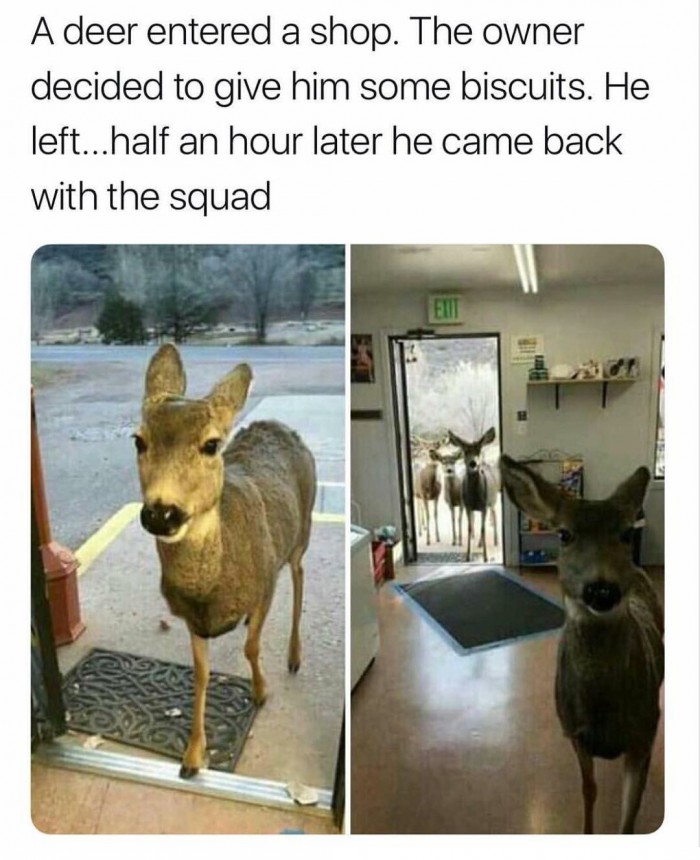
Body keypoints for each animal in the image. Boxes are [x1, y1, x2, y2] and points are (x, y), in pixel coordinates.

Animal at [134, 344, 316, 779]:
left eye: (211, 444)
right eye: (138, 440)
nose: (161, 513)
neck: (210, 589)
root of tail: (279, 425)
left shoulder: (265, 583)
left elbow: (251, 647)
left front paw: (261, 691)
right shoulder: (191, 619)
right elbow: (200, 675)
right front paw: (192, 757)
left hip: (302, 532)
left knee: (299, 575)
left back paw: (294, 656)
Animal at [447, 427, 500, 562]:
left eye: (478, 451)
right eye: (465, 451)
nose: (473, 463)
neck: (475, 497)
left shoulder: (484, 505)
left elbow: (483, 529)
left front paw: (486, 557)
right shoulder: (467, 506)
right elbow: (470, 528)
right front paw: (467, 556)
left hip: (492, 501)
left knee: (494, 516)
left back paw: (496, 541)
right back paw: (480, 543)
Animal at [499, 455, 664, 834]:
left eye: (626, 533)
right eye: (564, 534)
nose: (601, 589)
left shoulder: (646, 729)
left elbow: (630, 814)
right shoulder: (573, 731)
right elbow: (588, 789)